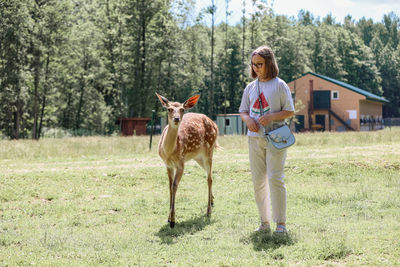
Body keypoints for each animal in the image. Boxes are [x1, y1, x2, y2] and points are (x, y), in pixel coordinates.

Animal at [156, 92, 220, 228]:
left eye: (182, 109)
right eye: (169, 109)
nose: (176, 119)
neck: (169, 152)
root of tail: (214, 123)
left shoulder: (181, 163)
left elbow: (175, 186)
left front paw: (173, 220)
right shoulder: (167, 164)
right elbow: (169, 186)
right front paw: (168, 218)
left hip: (209, 149)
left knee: (209, 178)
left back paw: (208, 211)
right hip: (198, 157)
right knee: (209, 174)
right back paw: (212, 201)